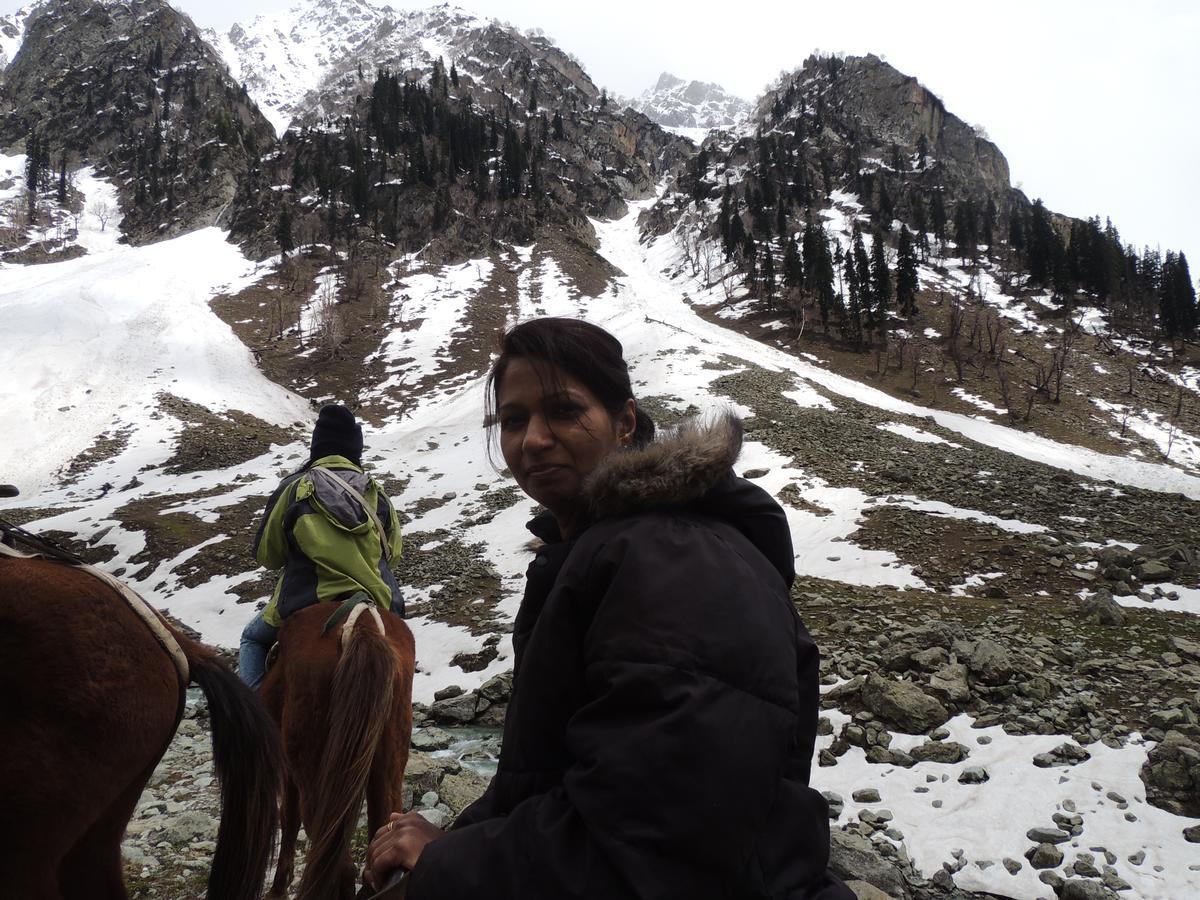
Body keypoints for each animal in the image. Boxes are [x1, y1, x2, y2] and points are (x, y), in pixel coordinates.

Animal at [260, 600, 415, 900]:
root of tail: (364, 625)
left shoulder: (288, 771)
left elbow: (289, 818)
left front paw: (278, 887)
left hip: (313, 770)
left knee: (339, 864)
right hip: (390, 761)